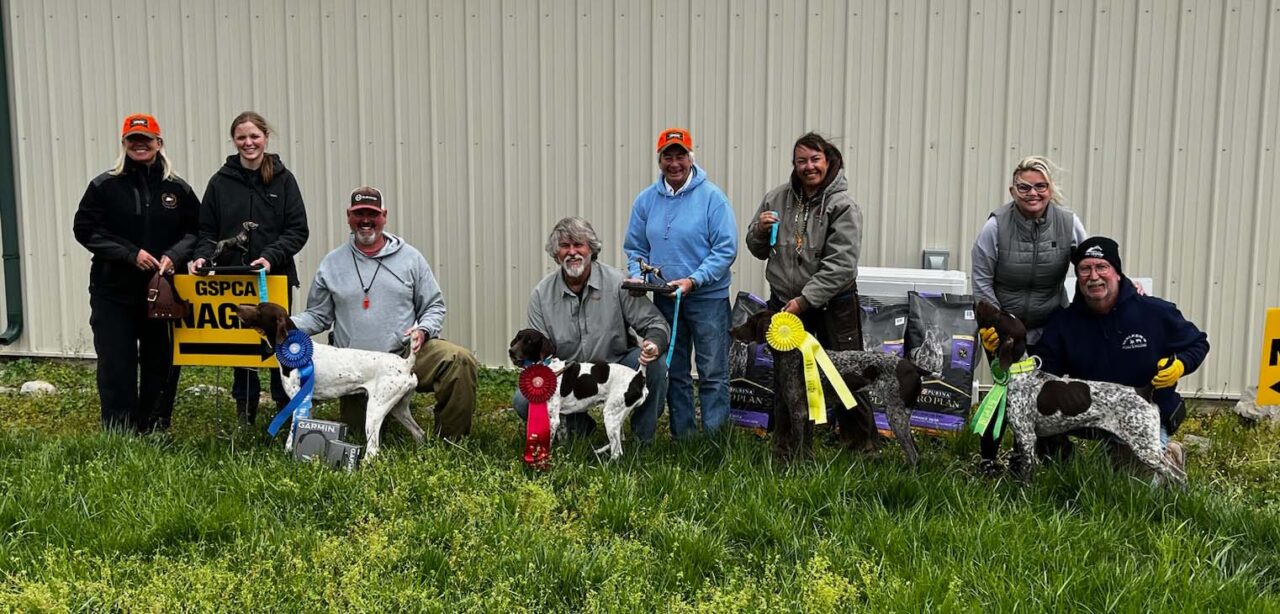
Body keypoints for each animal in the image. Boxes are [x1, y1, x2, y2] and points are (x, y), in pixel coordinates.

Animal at [235, 304, 424, 457]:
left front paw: (288, 452)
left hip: (375, 411)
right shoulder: (309, 404)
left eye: (260, 309)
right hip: (399, 409)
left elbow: (292, 433)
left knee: (373, 450)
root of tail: (406, 364)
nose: (237, 308)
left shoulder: (298, 401)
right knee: (419, 433)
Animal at [509, 327, 650, 457]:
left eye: (529, 341)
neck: (547, 368)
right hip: (617, 417)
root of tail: (639, 377)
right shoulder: (561, 417)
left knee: (617, 451)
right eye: (517, 338)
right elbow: (562, 438)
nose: (511, 351)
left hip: (611, 415)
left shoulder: (553, 419)